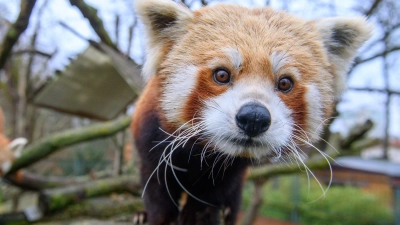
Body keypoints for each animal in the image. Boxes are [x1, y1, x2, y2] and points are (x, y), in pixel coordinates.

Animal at [131, 0, 372, 224]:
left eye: (285, 83)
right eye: (221, 74)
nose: (254, 117)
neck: (202, 153)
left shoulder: (233, 171)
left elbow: (214, 193)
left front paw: (200, 215)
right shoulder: (151, 137)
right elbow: (156, 186)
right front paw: (160, 217)